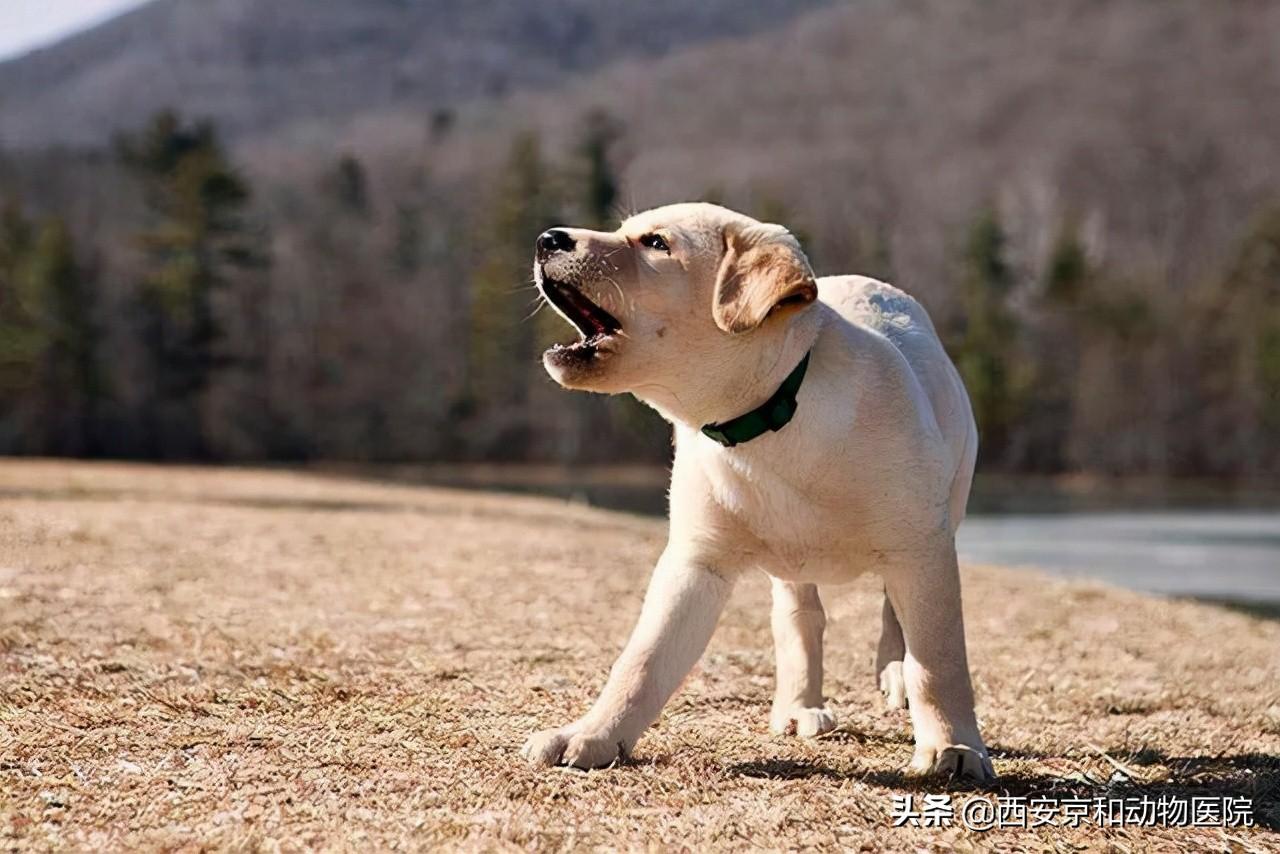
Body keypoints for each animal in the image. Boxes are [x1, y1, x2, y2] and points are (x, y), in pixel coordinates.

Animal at [517, 203, 988, 778]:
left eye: (655, 243)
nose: (547, 238)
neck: (771, 416)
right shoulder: (697, 561)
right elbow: (643, 659)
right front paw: (592, 735)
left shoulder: (921, 548)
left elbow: (938, 659)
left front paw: (953, 747)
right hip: (792, 564)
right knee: (800, 619)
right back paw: (799, 707)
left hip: (945, 507)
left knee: (893, 614)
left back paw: (892, 673)